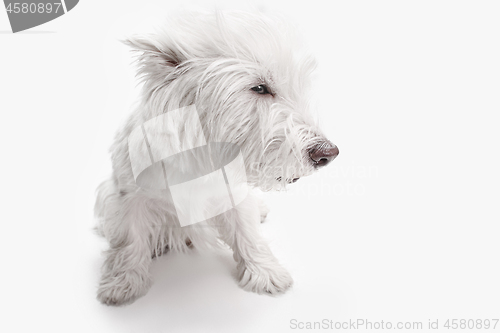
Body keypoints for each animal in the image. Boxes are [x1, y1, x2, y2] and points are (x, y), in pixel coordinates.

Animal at [94, 10, 336, 304]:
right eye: (259, 88)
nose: (328, 154)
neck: (202, 155)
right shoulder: (128, 197)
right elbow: (129, 240)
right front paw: (123, 282)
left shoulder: (232, 194)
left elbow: (247, 232)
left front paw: (265, 272)